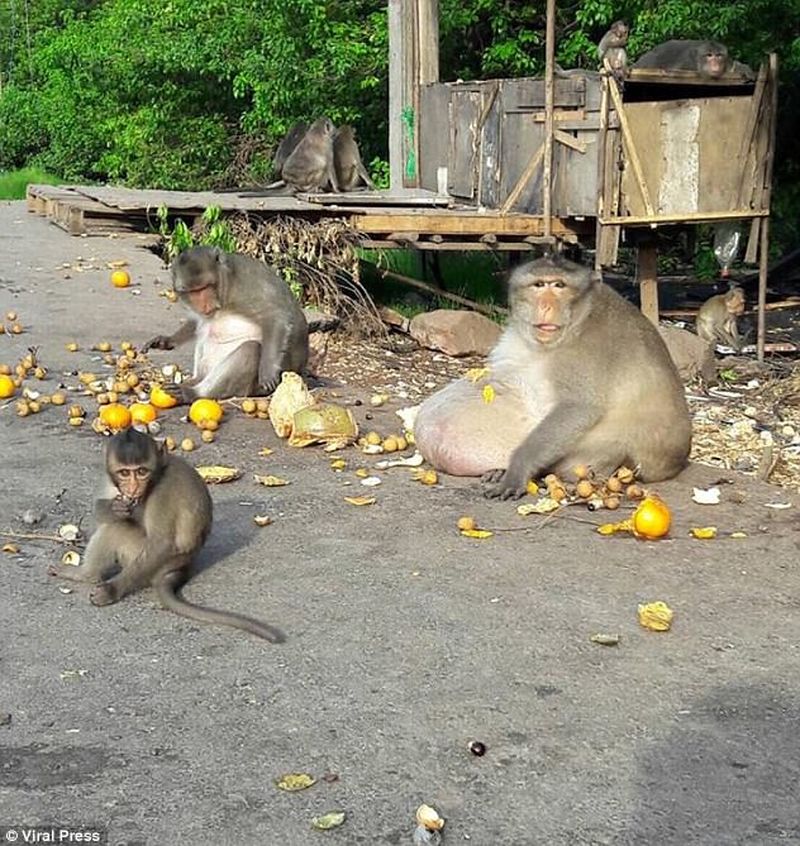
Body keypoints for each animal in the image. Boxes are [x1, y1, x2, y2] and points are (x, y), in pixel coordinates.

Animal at [412, 255, 692, 500]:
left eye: (559, 286)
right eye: (539, 285)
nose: (546, 306)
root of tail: (678, 461)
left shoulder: (587, 351)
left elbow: (579, 408)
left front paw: (518, 468)